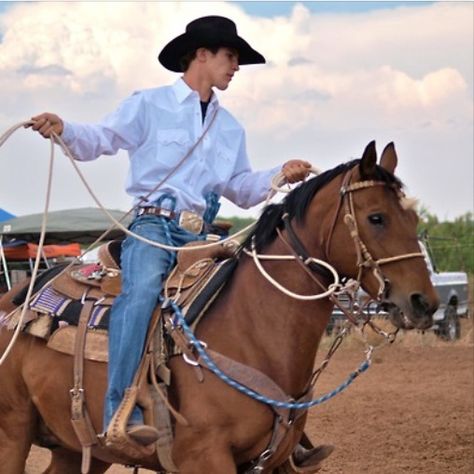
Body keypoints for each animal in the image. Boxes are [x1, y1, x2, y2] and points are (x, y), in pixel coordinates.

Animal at [0, 142, 440, 474]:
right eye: (377, 217)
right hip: (13, 431)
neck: (251, 328)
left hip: (77, 448)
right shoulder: (205, 458)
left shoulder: (271, 462)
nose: (425, 303)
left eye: (414, 218)